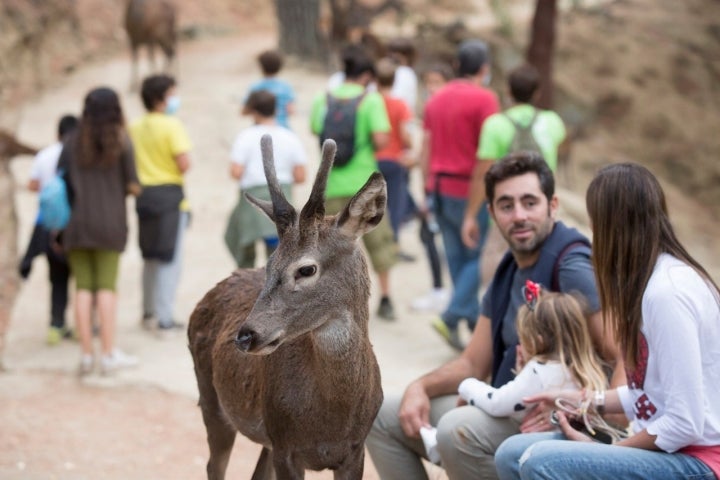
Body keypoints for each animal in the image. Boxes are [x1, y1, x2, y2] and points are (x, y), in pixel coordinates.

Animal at [188, 136, 386, 480]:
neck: (332, 420)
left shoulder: (355, 450)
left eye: (306, 269)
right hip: (212, 400)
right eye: (269, 263)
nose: (245, 335)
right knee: (214, 465)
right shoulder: (285, 446)